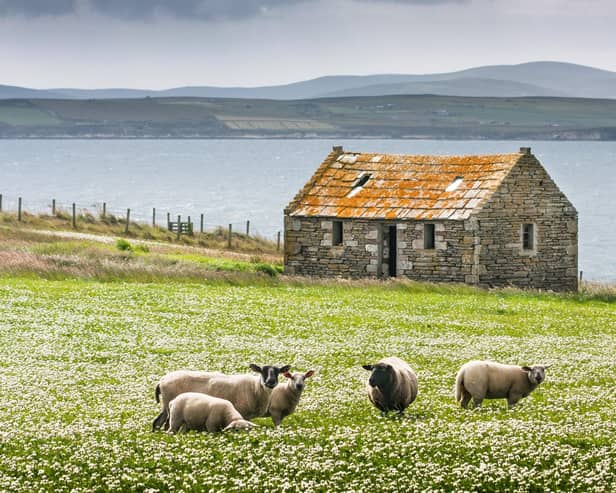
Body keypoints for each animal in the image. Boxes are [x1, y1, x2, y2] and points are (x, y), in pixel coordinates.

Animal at [153, 362, 290, 430]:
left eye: (278, 372)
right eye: (262, 371)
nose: (271, 382)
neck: (255, 388)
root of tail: (162, 380)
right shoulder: (243, 413)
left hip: (166, 406)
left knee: (157, 422)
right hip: (171, 406)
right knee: (166, 425)